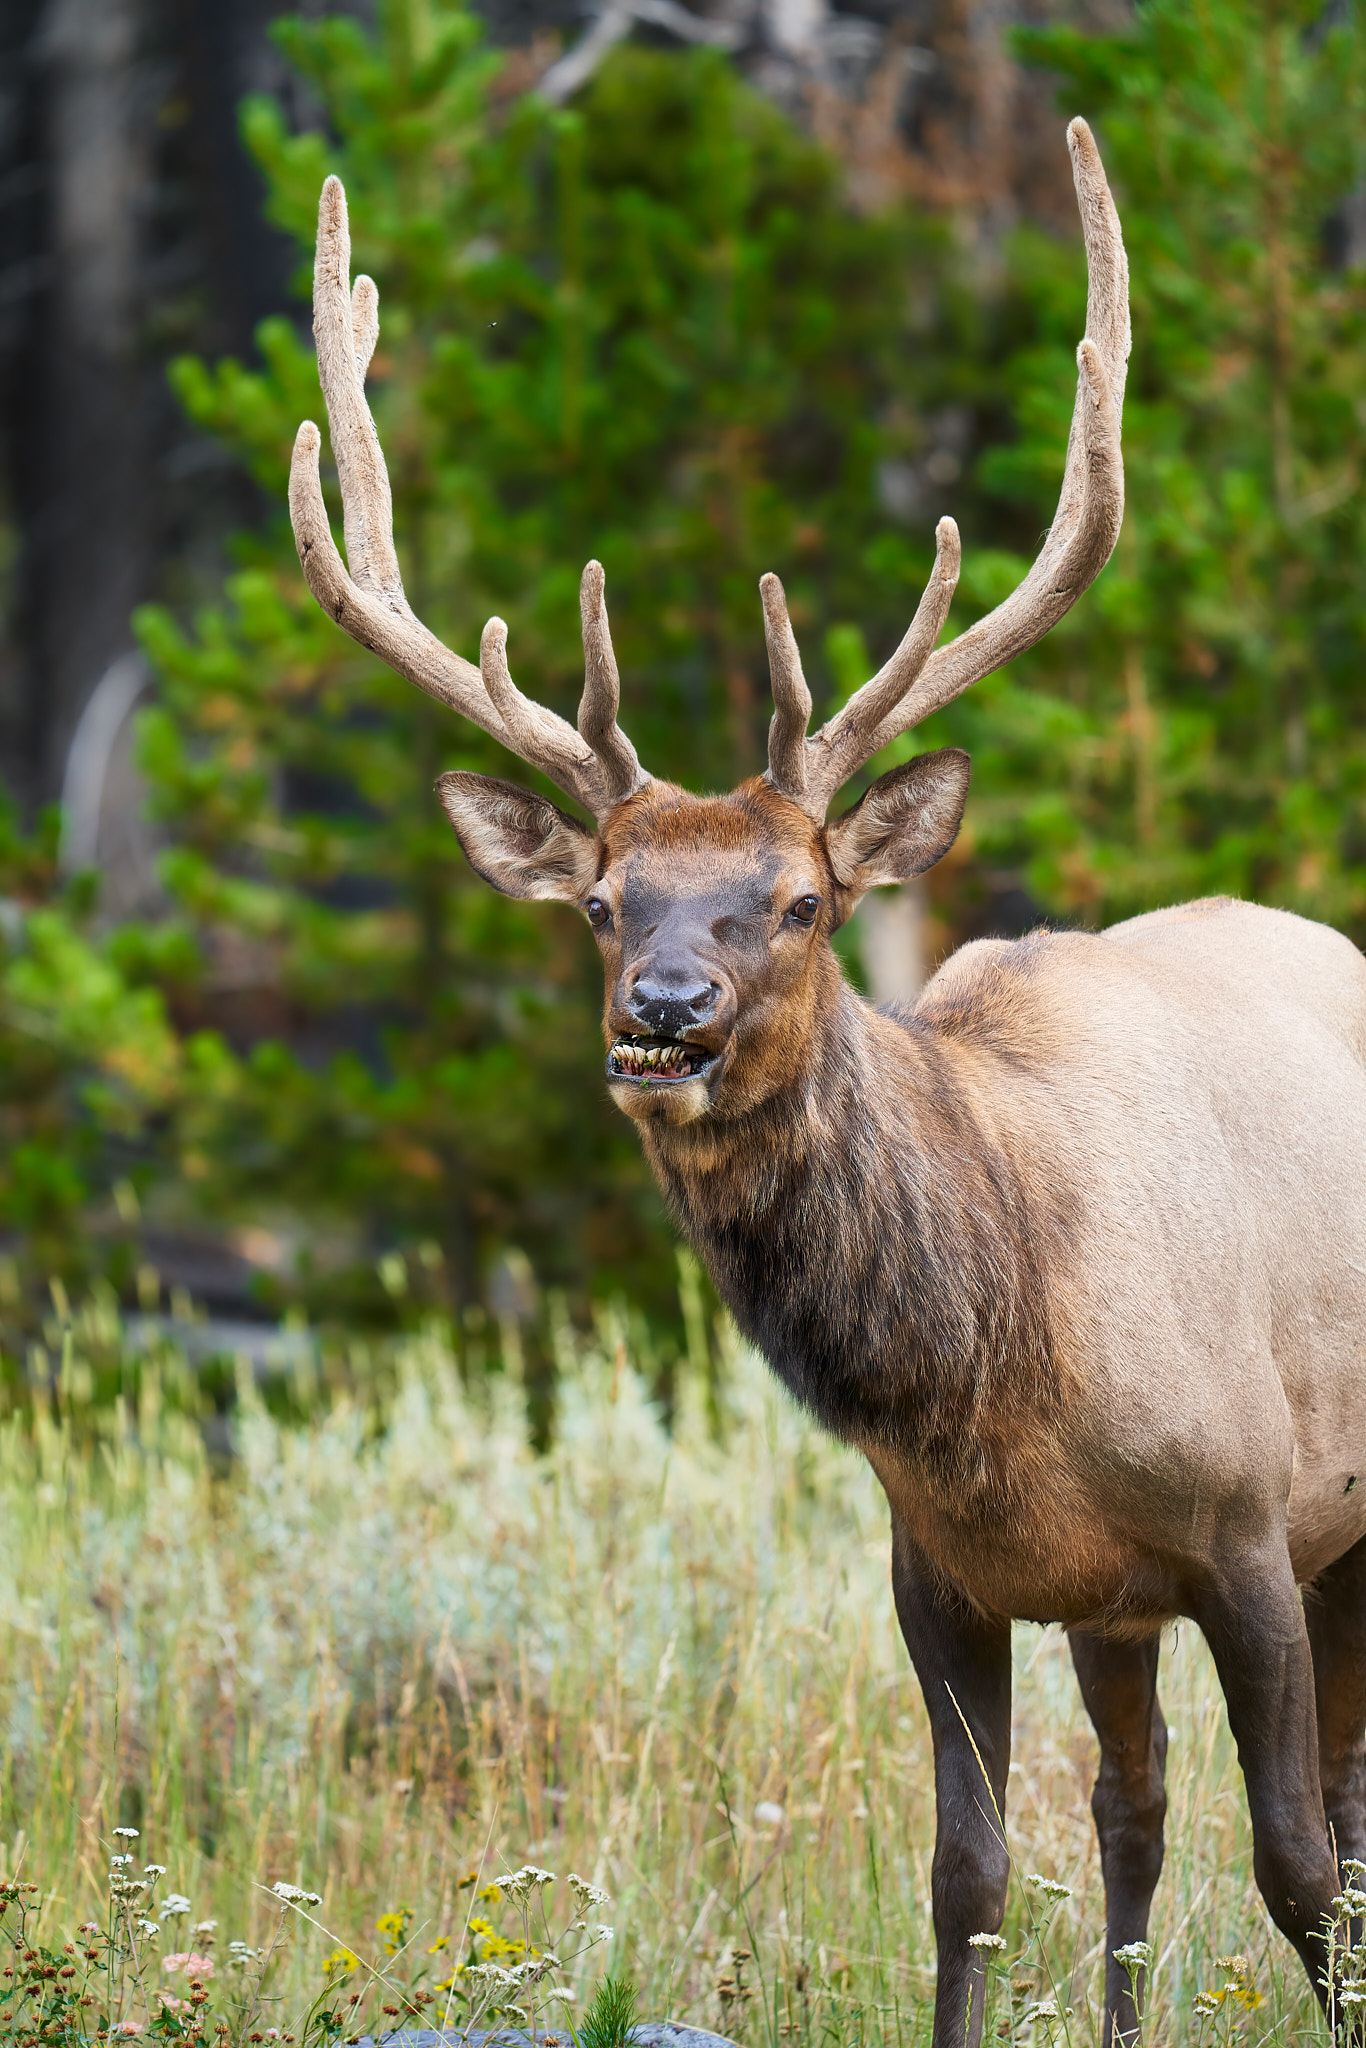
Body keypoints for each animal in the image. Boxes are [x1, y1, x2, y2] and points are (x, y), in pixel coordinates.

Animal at [288, 121, 1366, 2046]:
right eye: (599, 900)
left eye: (797, 899)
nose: (665, 1014)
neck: (996, 1368)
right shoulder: (941, 1568)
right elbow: (970, 1879)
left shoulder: (1252, 1520)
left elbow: (1302, 1865)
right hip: (1115, 1611)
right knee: (1134, 1804)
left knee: (1305, 1812)